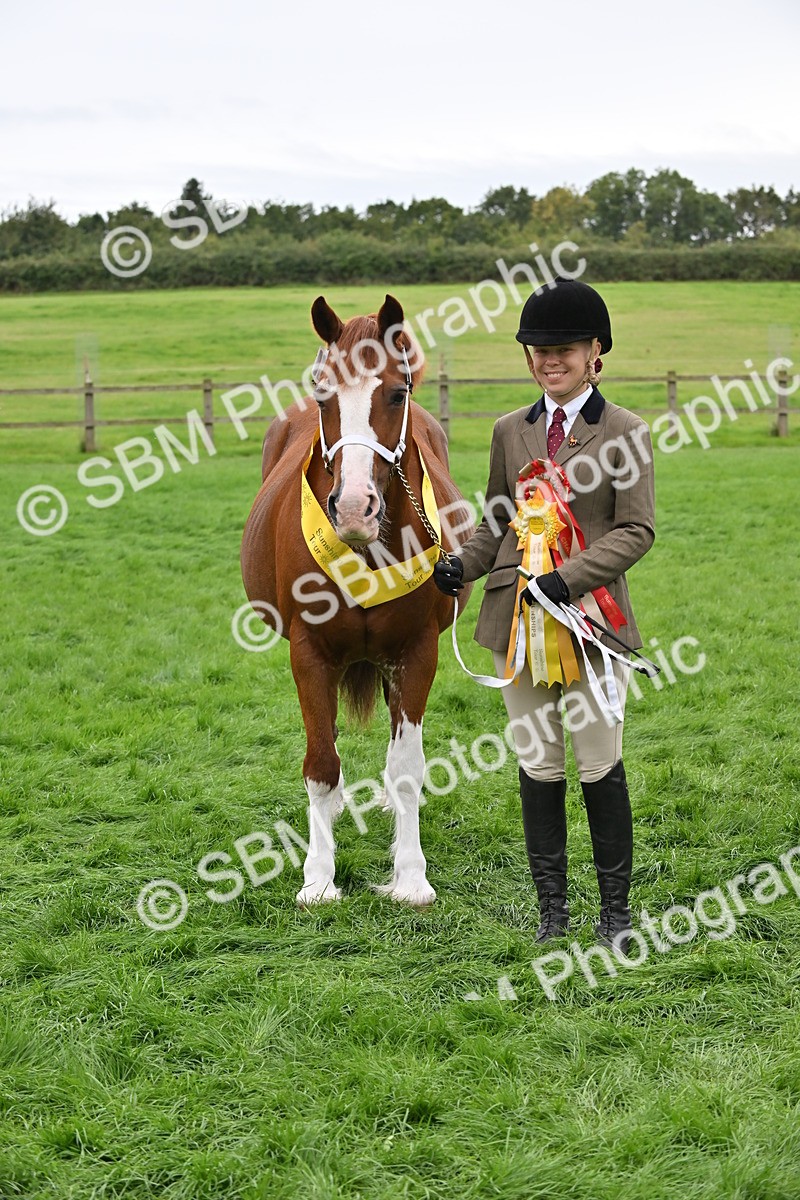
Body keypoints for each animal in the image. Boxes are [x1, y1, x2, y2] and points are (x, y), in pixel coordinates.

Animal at [240, 294, 473, 907]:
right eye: (323, 393)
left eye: (396, 392)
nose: (352, 508)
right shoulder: (309, 655)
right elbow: (321, 763)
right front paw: (318, 878)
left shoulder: (416, 653)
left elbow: (408, 765)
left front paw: (410, 876)